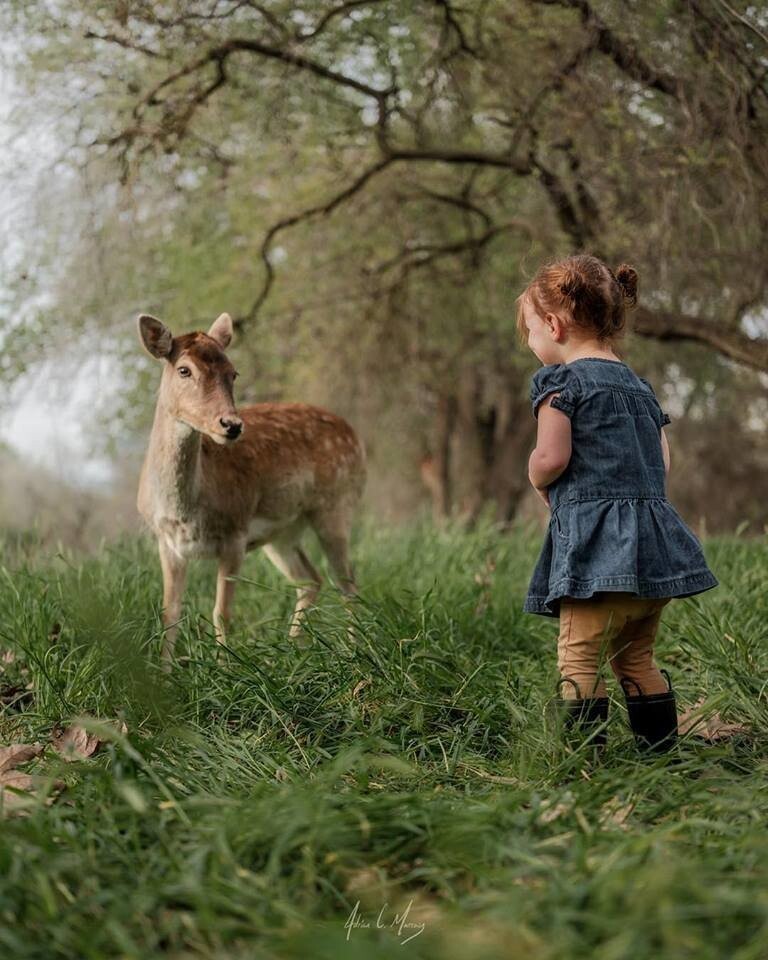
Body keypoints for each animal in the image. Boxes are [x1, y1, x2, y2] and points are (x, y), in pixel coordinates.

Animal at [137, 316, 366, 668]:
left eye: (233, 372)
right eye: (184, 370)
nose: (231, 425)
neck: (186, 511)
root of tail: (357, 439)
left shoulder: (234, 534)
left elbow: (222, 612)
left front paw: (225, 670)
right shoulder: (167, 542)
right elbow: (169, 613)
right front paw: (164, 674)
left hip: (337, 505)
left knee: (347, 582)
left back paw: (354, 653)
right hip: (282, 533)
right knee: (310, 579)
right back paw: (291, 651)